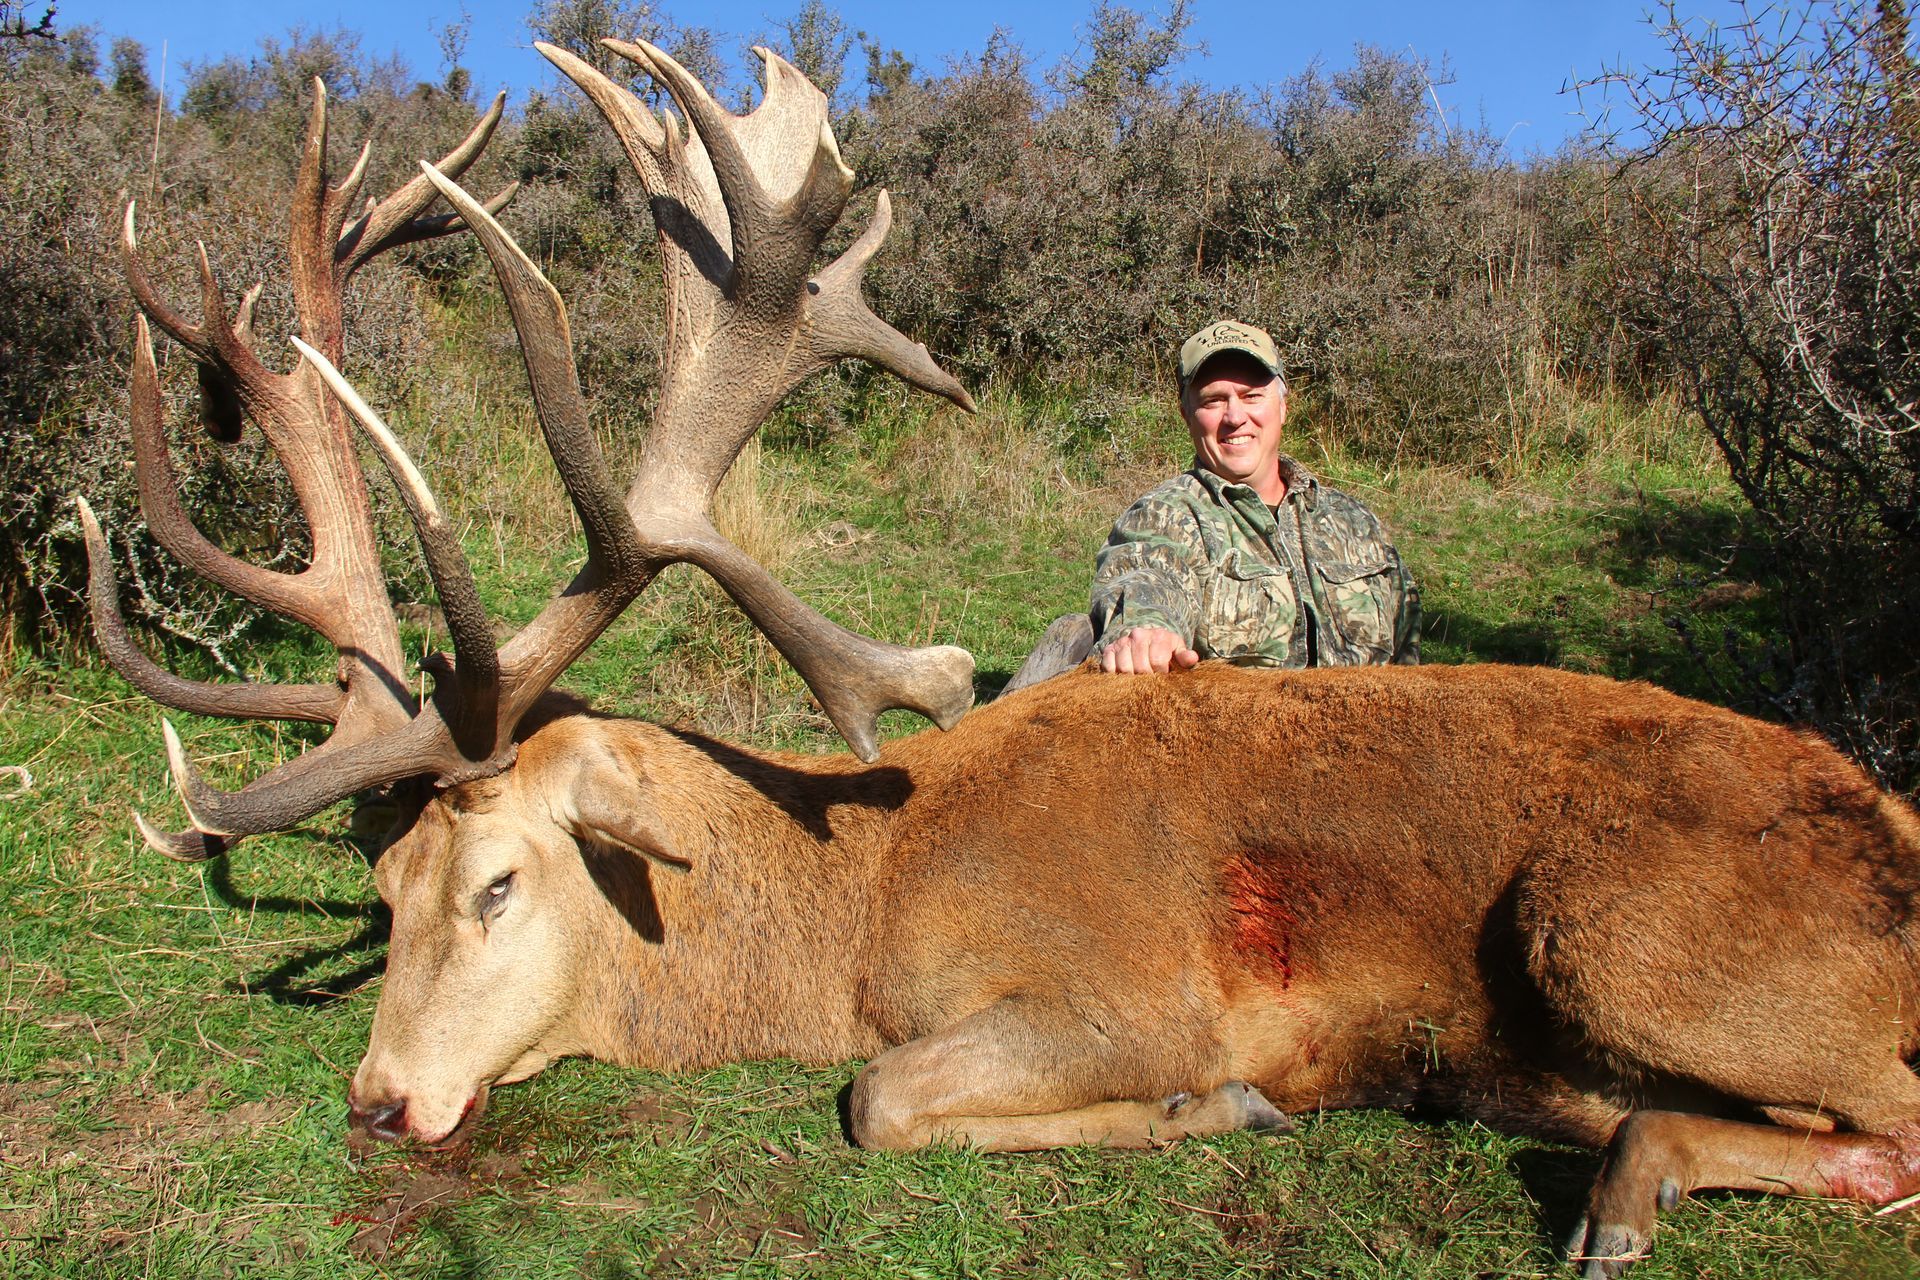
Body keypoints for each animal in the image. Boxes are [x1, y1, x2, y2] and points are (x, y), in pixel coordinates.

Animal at [76, 39, 1920, 1280]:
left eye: (502, 881)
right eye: (383, 894)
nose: (381, 1101)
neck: (852, 903)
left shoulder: (1129, 989)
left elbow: (879, 1099)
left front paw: (1217, 1113)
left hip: (1617, 930)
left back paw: (1621, 1196)